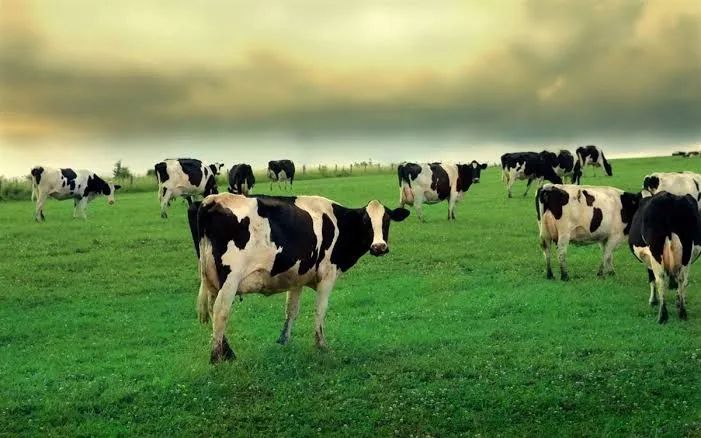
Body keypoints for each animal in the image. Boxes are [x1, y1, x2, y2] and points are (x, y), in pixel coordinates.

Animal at [186, 193, 410, 363]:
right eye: (366, 222)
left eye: (387, 221)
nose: (379, 247)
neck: (339, 223)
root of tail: (213, 199)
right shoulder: (327, 275)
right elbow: (320, 310)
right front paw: (321, 344)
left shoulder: (297, 277)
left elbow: (291, 310)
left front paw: (284, 341)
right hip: (230, 279)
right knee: (220, 312)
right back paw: (216, 358)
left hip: (212, 279)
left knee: (212, 308)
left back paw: (227, 353)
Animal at [629, 192, 701, 323]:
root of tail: (669, 198)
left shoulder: (648, 259)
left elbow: (651, 279)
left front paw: (653, 301)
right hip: (687, 249)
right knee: (682, 279)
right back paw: (682, 312)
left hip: (656, 250)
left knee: (661, 279)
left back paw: (662, 316)